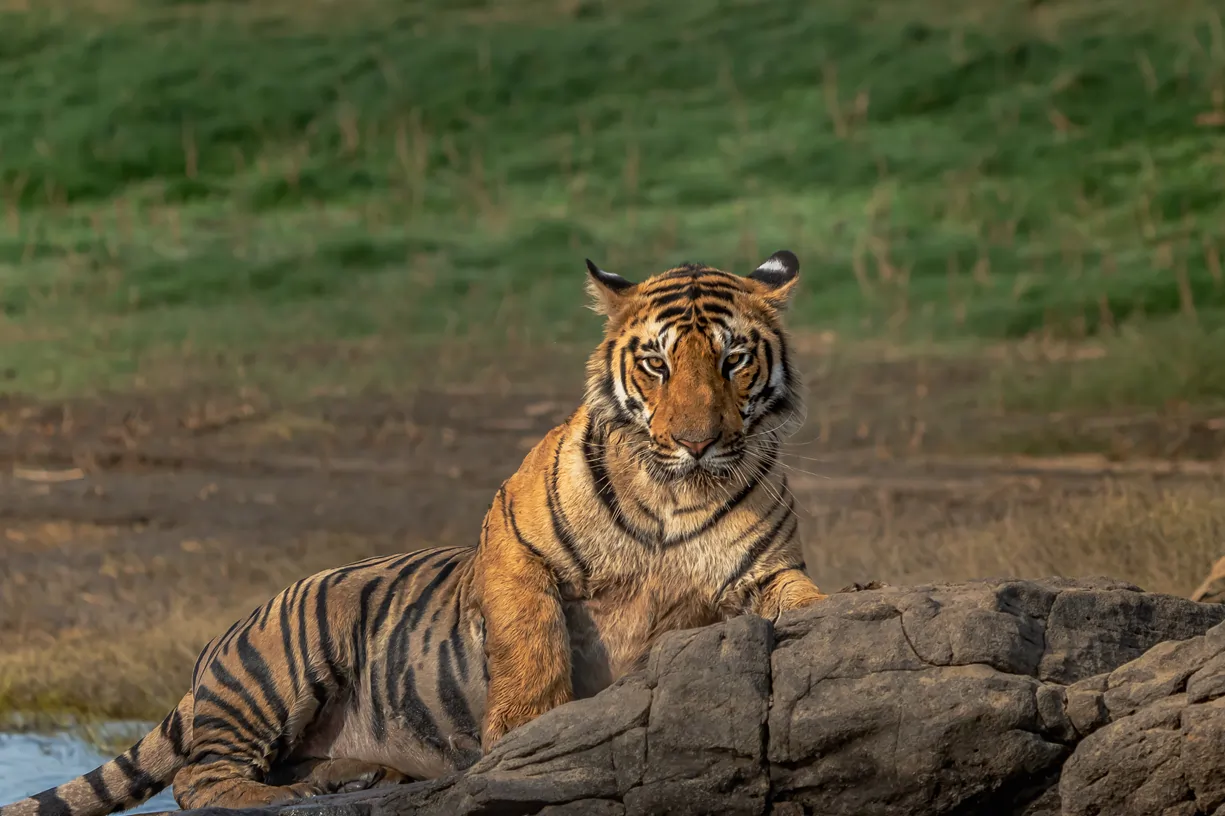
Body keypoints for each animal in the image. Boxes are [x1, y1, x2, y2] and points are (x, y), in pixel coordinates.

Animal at [1, 250, 828, 816]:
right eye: (655, 364)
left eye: (732, 358)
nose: (695, 442)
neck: (671, 493)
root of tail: (218, 643)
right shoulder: (514, 540)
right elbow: (530, 643)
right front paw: (523, 740)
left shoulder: (763, 573)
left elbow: (804, 602)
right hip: (284, 664)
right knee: (199, 779)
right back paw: (292, 796)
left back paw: (359, 775)